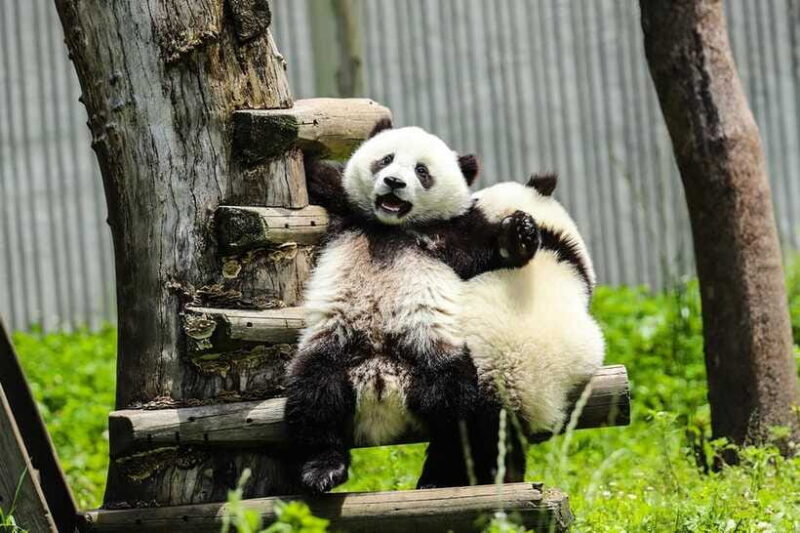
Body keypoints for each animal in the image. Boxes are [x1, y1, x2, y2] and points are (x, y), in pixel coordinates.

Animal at [285, 120, 541, 493]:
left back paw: (441, 476)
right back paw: (323, 469)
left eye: (422, 171)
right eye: (386, 159)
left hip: (436, 356)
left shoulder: (450, 235)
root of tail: (382, 385)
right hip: (334, 348)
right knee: (315, 396)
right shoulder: (341, 204)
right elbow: (317, 177)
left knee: (457, 411)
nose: (394, 181)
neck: (391, 227)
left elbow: (491, 248)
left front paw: (521, 232)